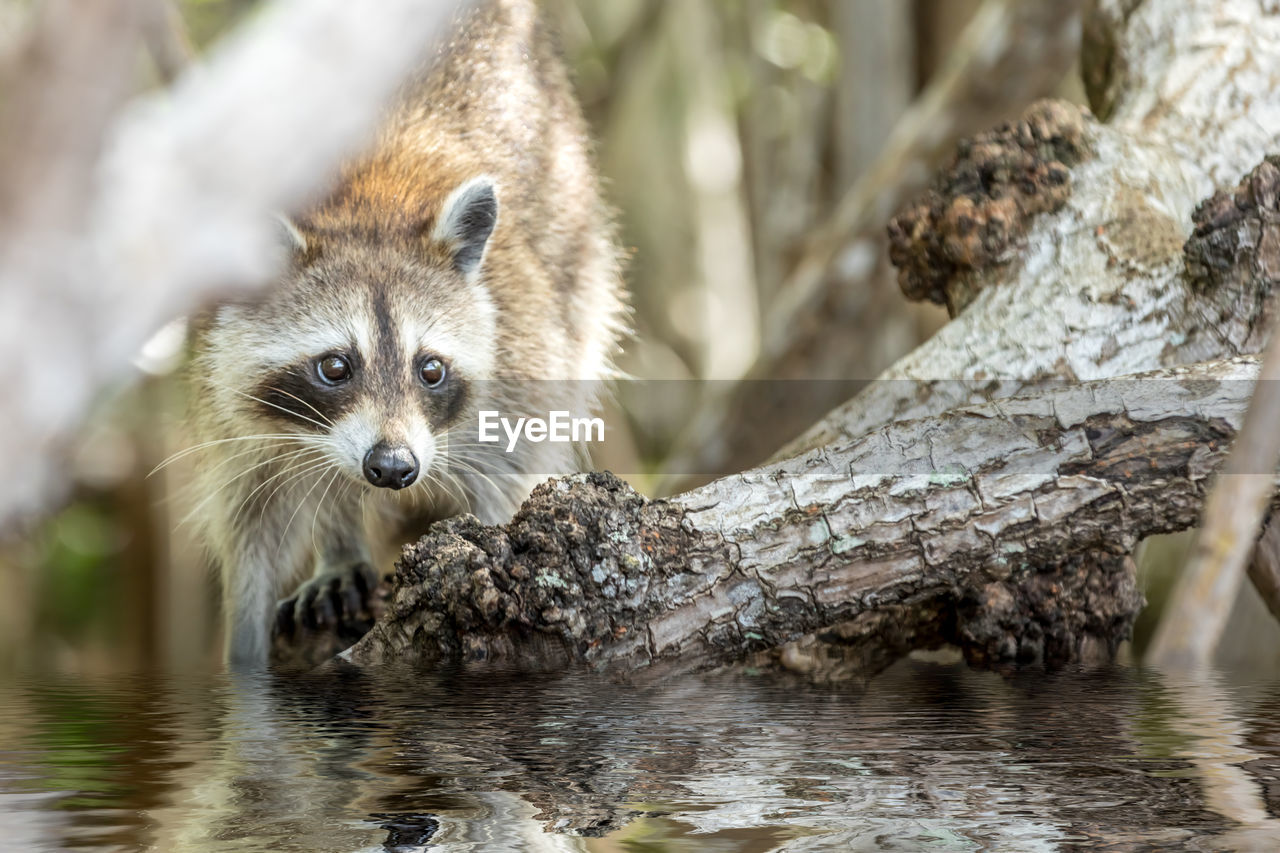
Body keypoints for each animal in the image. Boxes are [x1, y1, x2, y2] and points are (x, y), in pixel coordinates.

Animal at [186, 0, 627, 666]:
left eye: (431, 369)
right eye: (335, 366)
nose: (393, 467)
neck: (363, 209)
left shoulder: (522, 353)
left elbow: (509, 478)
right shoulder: (224, 399)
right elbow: (252, 518)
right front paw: (246, 656)